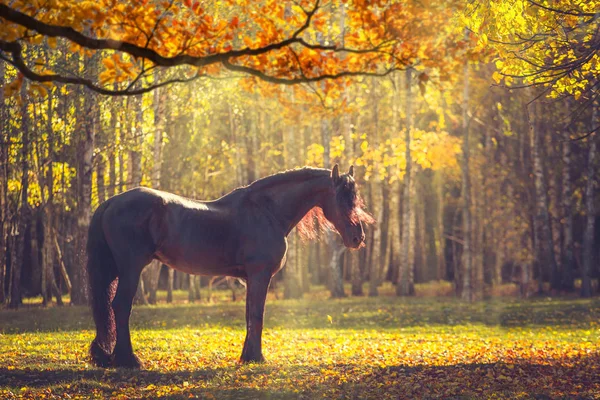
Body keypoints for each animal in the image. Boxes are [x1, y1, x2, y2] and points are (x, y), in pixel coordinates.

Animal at [87, 165, 372, 368]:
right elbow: (257, 315)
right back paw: (128, 360)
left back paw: (107, 357)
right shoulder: (260, 275)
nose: (358, 237)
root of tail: (111, 202)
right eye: (344, 198)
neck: (267, 211)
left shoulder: (249, 279)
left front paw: (247, 356)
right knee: (120, 306)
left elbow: (249, 315)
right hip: (131, 269)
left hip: (114, 270)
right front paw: (256, 358)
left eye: (355, 198)